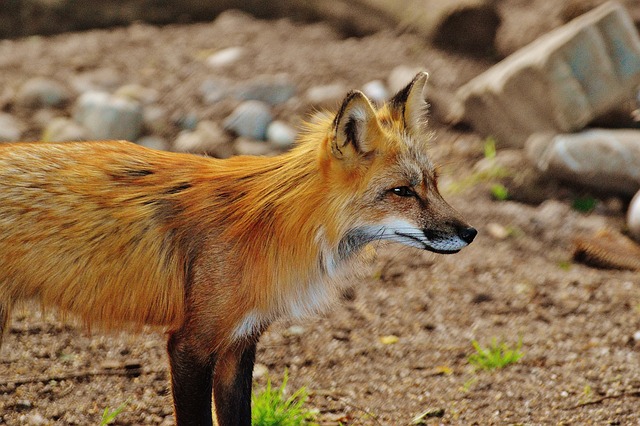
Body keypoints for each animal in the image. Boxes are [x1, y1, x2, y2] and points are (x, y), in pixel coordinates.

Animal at [0, 71, 476, 424]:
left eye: (433, 183)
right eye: (401, 192)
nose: (470, 233)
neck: (279, 226)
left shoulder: (239, 342)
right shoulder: (189, 345)